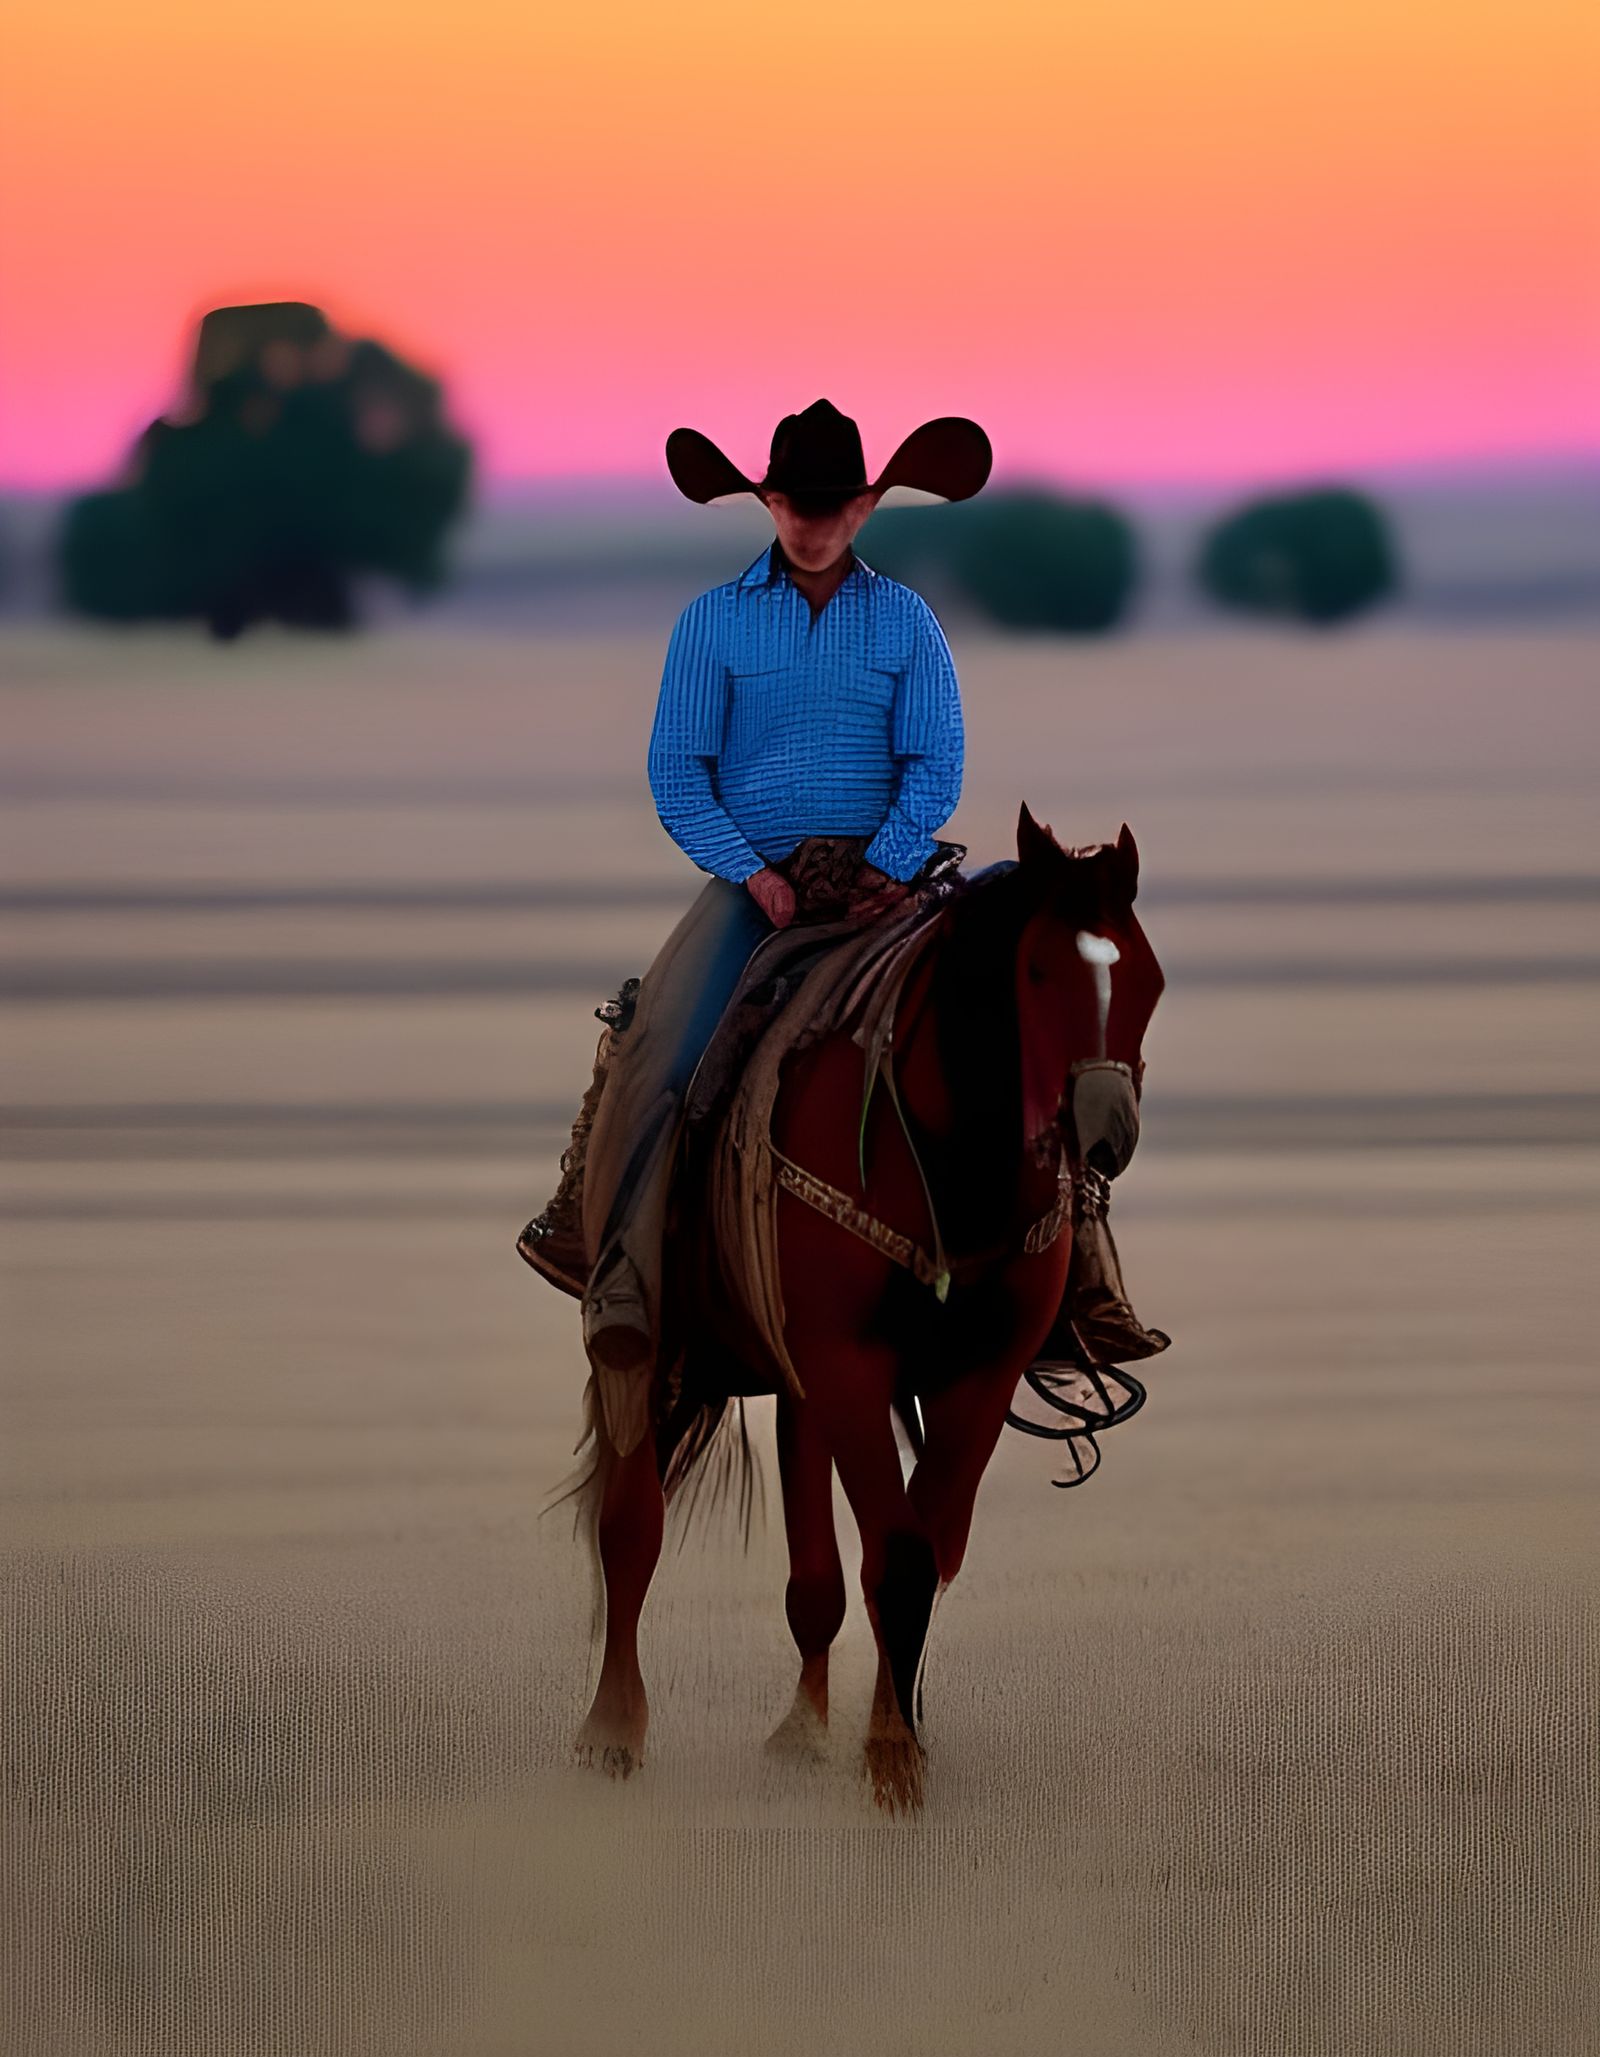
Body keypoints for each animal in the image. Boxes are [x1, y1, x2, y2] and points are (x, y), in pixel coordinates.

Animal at [568, 805, 1167, 1810]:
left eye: (1148, 977)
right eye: (1038, 971)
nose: (1103, 1133)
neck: (951, 1163)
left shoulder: (976, 1371)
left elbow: (928, 1546)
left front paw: (896, 1733)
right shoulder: (848, 1360)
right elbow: (901, 1550)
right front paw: (893, 1761)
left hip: (793, 1379)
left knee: (811, 1576)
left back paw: (801, 1732)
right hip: (651, 1341)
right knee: (630, 1525)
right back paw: (611, 1730)